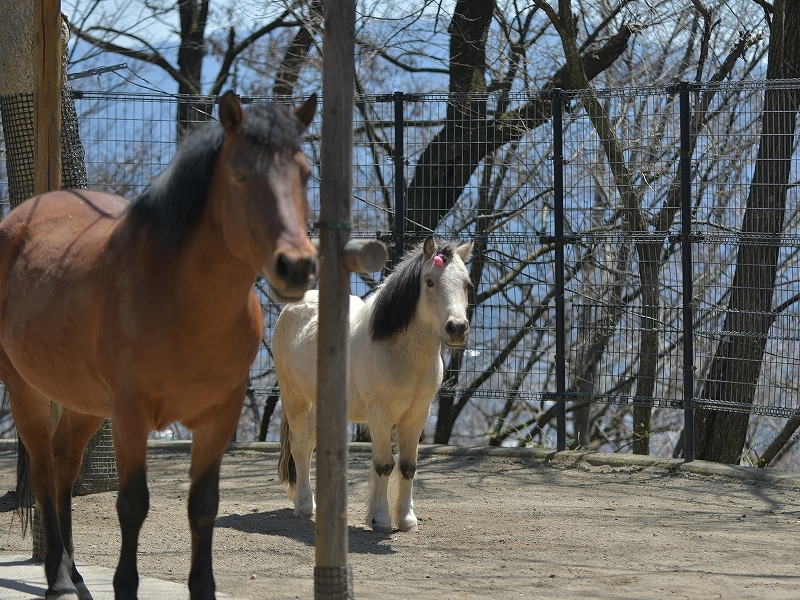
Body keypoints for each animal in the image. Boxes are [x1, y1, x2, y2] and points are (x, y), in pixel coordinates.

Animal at [0, 90, 318, 600]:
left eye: (304, 173)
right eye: (240, 173)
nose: (297, 265)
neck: (181, 300)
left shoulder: (219, 416)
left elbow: (204, 505)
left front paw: (203, 587)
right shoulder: (131, 413)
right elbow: (132, 504)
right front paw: (124, 585)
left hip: (87, 404)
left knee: (66, 466)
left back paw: (75, 574)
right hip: (26, 388)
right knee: (47, 473)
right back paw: (59, 579)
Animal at [276, 237, 476, 532]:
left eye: (467, 284)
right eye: (429, 281)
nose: (457, 328)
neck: (398, 350)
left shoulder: (417, 416)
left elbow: (407, 465)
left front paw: (406, 519)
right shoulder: (380, 416)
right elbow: (384, 465)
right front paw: (380, 518)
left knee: (310, 444)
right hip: (295, 398)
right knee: (300, 445)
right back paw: (304, 506)